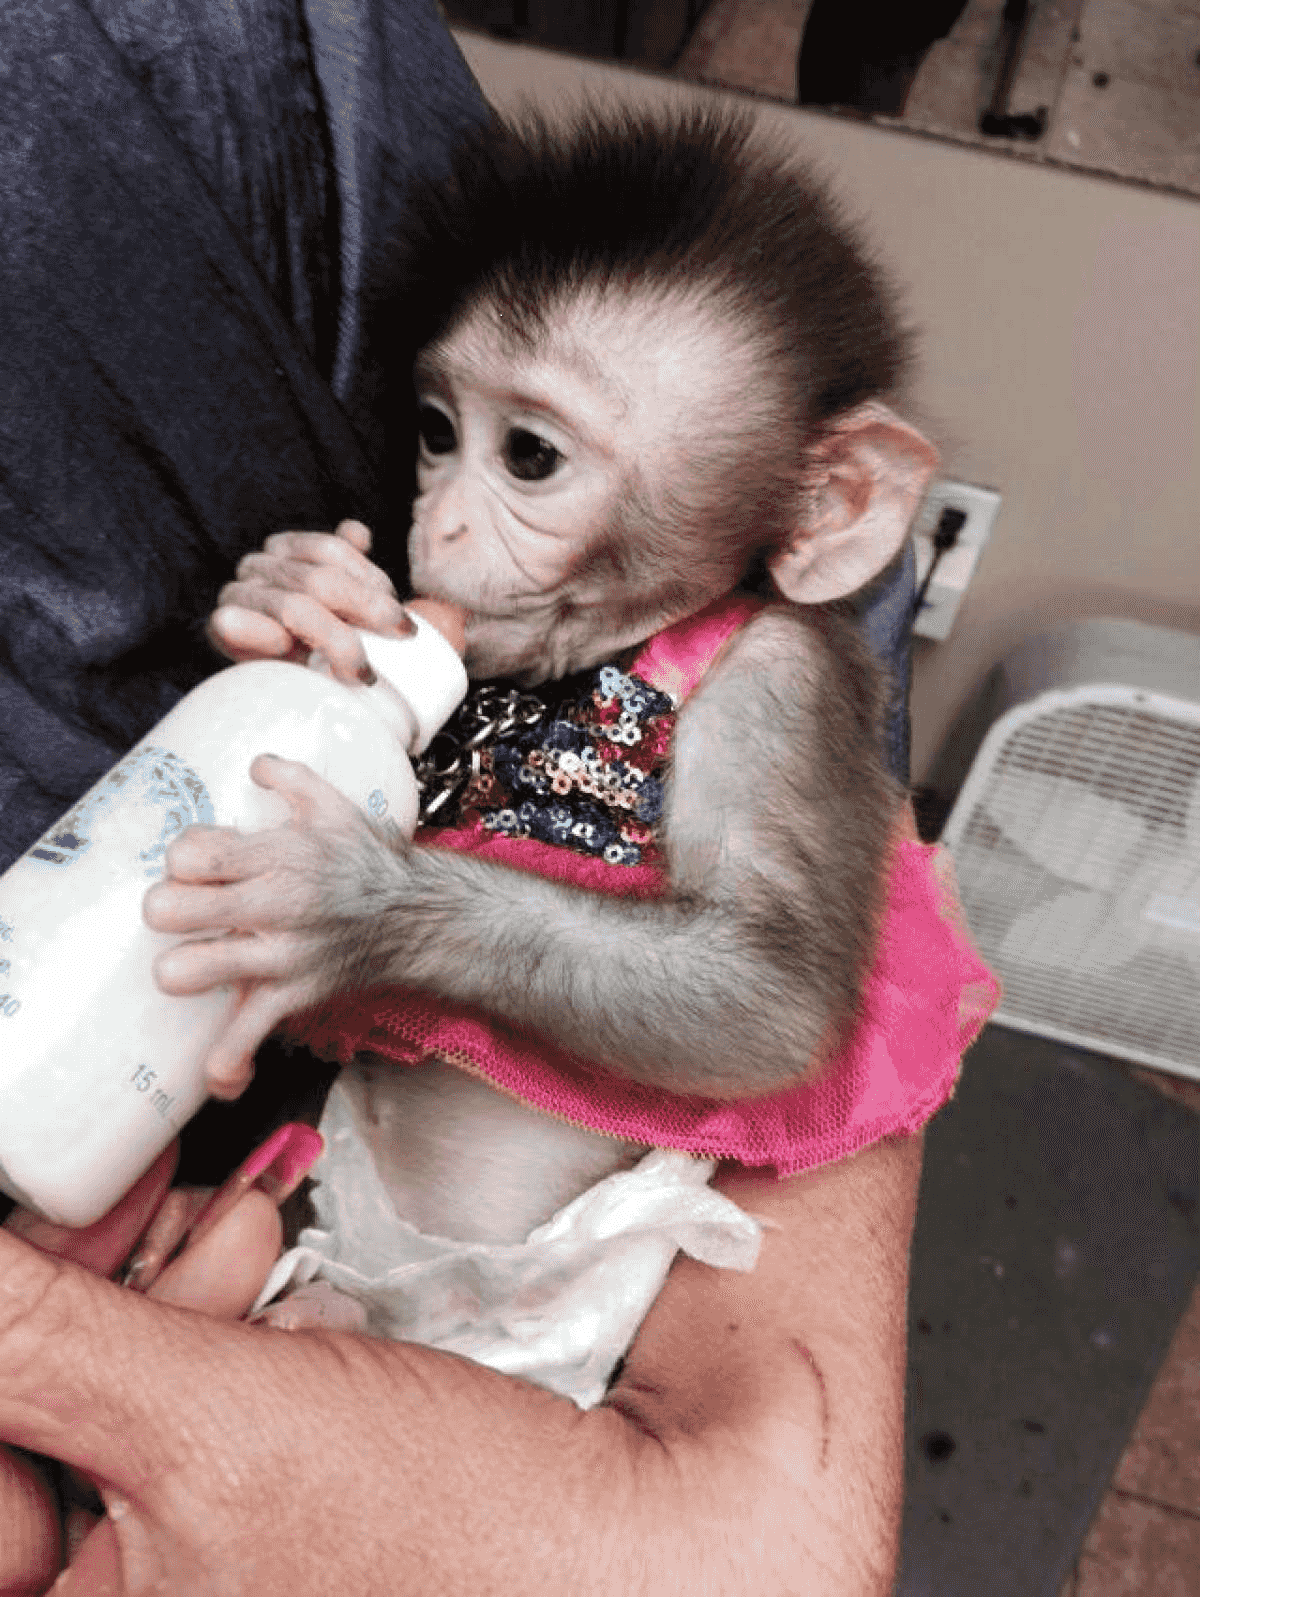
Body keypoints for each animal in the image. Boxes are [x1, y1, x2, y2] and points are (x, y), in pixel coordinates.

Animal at [138, 105, 979, 1350]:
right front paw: (297, 592)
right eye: (436, 431)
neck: (562, 685)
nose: (432, 522)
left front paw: (348, 902)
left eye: (527, 456)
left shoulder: (786, 685)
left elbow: (769, 993)